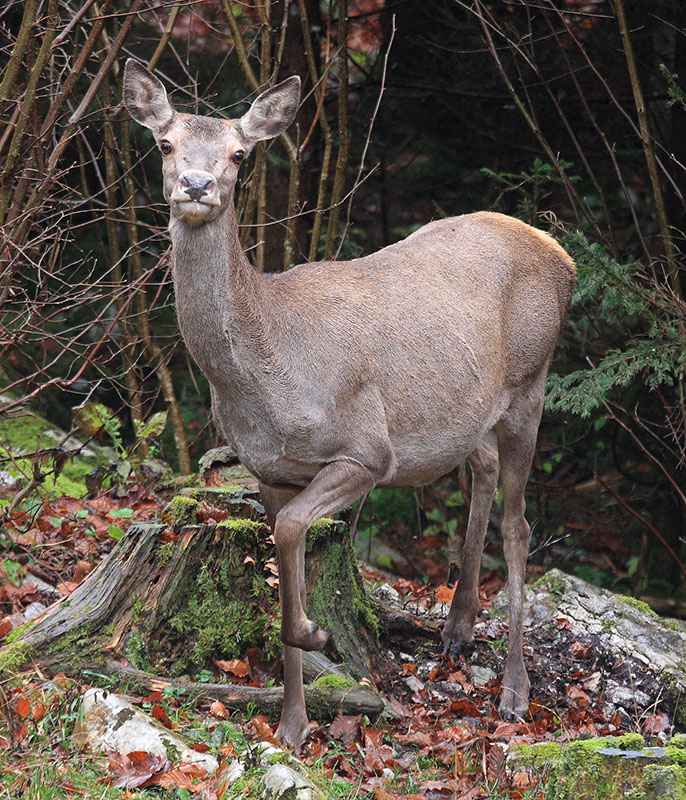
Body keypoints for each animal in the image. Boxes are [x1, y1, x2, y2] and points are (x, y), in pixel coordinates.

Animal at [125, 61, 580, 752]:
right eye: (164, 143)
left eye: (239, 153)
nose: (197, 185)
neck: (264, 371)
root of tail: (563, 254)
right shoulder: (268, 469)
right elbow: (283, 553)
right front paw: (292, 723)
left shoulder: (367, 449)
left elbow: (293, 532)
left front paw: (315, 633)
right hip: (468, 402)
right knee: (480, 468)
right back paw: (457, 629)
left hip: (534, 379)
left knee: (520, 523)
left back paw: (514, 690)